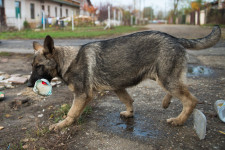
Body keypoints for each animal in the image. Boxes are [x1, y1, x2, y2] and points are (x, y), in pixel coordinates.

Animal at [27, 25, 221, 130]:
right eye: (32, 66)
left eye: (39, 66)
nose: (28, 85)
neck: (66, 60)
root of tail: (175, 38)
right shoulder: (118, 87)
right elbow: (128, 99)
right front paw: (129, 112)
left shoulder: (82, 95)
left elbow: (72, 112)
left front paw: (62, 124)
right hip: (163, 77)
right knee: (180, 91)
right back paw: (167, 102)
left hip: (166, 78)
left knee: (190, 100)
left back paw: (179, 120)